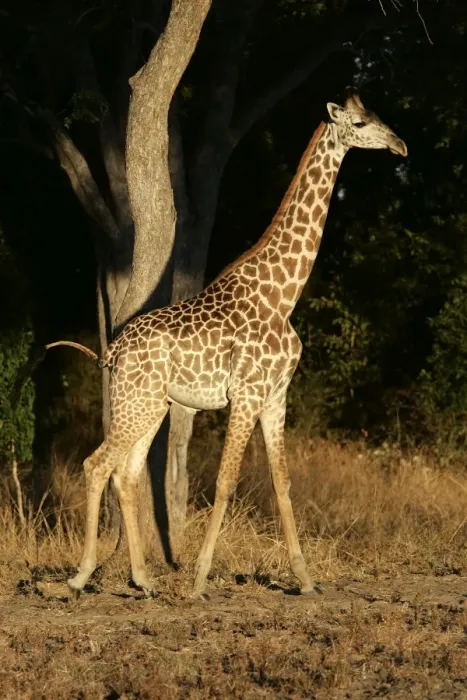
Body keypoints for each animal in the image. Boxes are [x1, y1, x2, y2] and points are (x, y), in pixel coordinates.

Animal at [43, 93, 407, 598]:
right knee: (97, 464)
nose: (400, 145)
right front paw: (199, 580)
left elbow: (282, 482)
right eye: (359, 123)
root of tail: (112, 352)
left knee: (127, 474)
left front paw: (305, 580)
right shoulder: (248, 394)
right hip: (138, 402)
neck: (284, 295)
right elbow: (225, 481)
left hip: (149, 403)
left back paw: (143, 579)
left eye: (375, 117)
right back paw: (80, 576)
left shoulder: (276, 396)